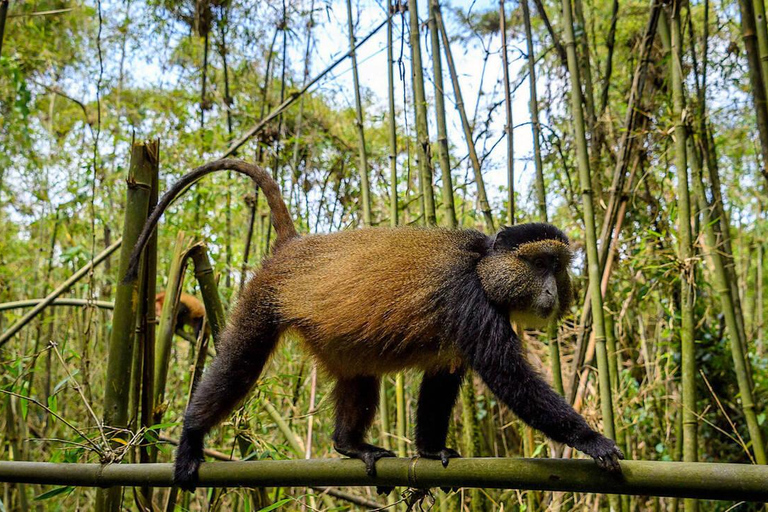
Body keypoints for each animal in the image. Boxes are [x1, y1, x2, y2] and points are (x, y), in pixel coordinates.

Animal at [123, 159, 624, 492]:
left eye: (558, 267)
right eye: (539, 263)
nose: (552, 291)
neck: (484, 268)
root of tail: (294, 246)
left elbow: (441, 382)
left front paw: (430, 451)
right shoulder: (468, 300)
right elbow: (510, 379)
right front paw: (593, 440)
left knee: (359, 378)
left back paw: (350, 446)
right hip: (262, 301)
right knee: (238, 366)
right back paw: (191, 438)